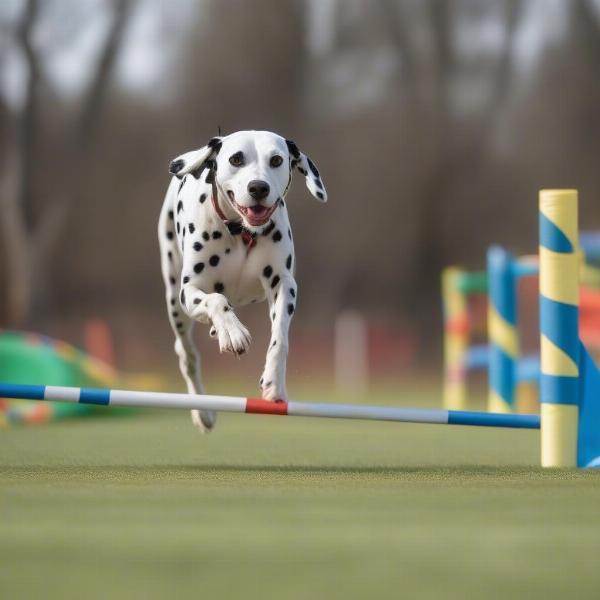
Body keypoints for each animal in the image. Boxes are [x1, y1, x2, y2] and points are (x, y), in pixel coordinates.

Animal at [158, 131, 328, 432]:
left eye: (276, 160)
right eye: (236, 159)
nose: (258, 187)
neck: (242, 232)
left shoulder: (283, 284)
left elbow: (280, 338)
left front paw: (274, 382)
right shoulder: (189, 291)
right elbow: (216, 299)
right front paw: (233, 332)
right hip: (175, 304)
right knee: (187, 355)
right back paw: (203, 412)